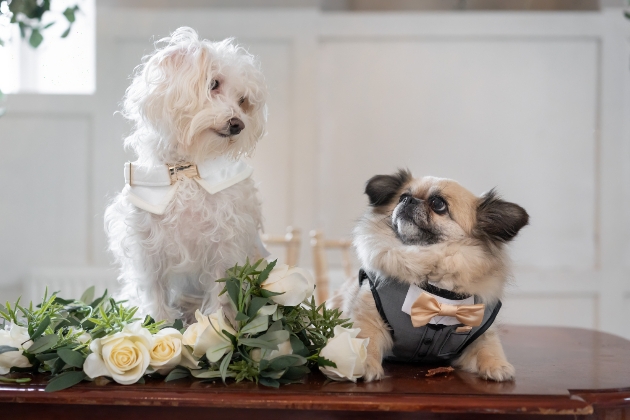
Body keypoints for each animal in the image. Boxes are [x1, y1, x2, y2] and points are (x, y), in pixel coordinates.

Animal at [106, 27, 270, 322]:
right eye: (213, 83)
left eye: (243, 101)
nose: (238, 124)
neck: (186, 172)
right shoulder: (147, 252)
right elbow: (155, 298)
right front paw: (158, 328)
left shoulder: (225, 248)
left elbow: (220, 296)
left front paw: (215, 328)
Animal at [334, 171, 532, 384]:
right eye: (402, 197)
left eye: (438, 203)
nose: (409, 200)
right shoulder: (370, 317)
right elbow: (366, 340)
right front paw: (364, 365)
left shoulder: (478, 333)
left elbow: (489, 346)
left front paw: (498, 365)